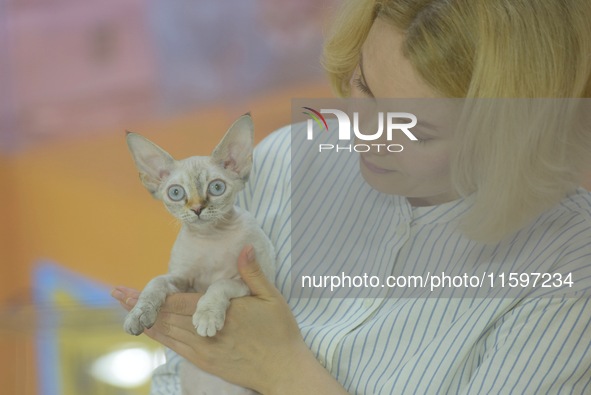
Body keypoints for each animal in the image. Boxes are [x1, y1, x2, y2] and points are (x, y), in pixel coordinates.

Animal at [124, 114, 276, 346]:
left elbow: (220, 283)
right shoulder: (182, 279)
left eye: (217, 187)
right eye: (176, 193)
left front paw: (207, 316)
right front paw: (139, 313)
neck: (210, 237)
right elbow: (155, 282)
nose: (197, 208)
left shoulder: (250, 282)